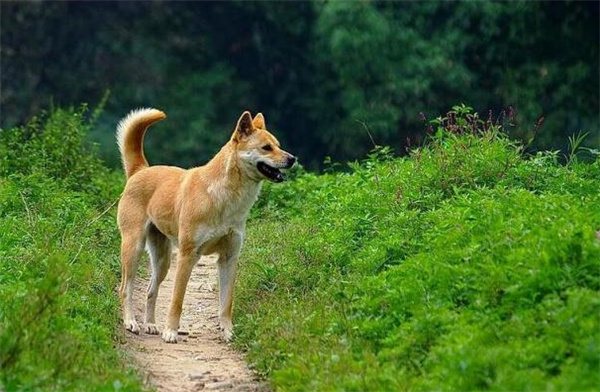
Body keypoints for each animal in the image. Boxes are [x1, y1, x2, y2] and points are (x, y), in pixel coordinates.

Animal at [116, 108, 294, 342]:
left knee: (150, 291)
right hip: (134, 248)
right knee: (125, 288)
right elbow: (177, 300)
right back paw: (131, 322)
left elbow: (226, 303)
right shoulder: (187, 255)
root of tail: (140, 170)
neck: (224, 196)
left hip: (162, 260)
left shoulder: (229, 258)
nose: (292, 159)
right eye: (266, 147)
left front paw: (228, 332)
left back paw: (151, 325)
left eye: (278, 145)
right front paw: (171, 331)